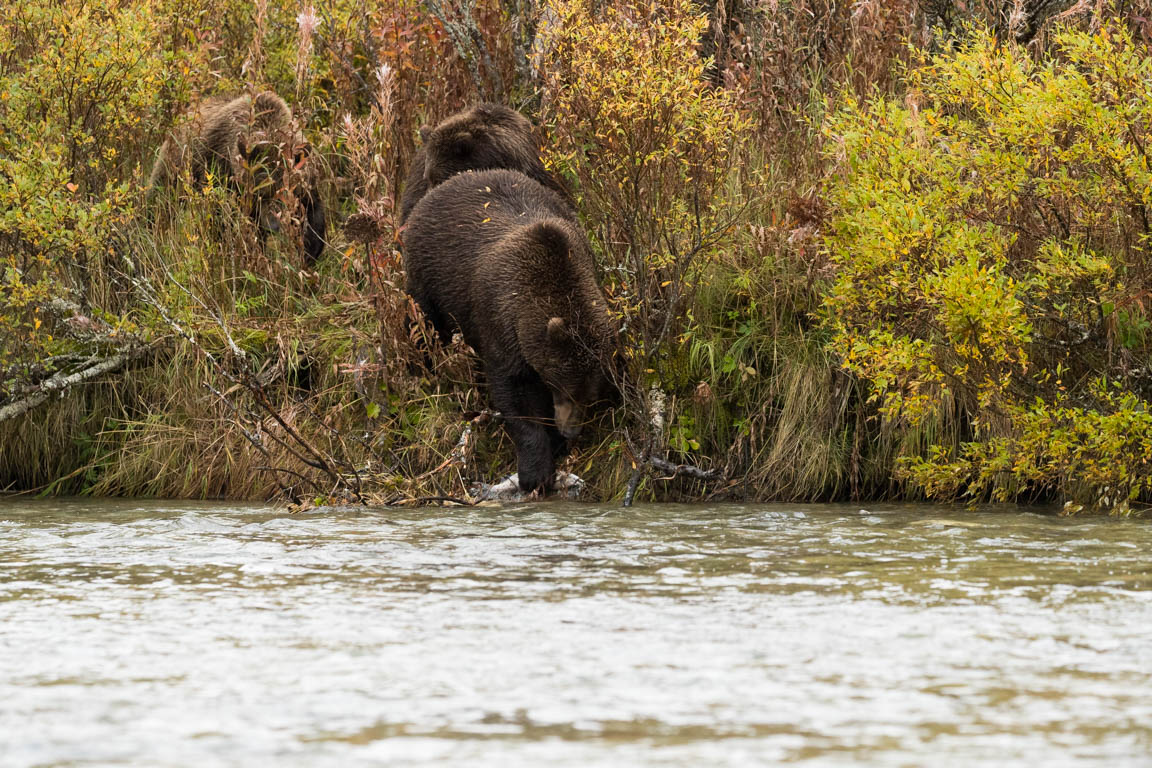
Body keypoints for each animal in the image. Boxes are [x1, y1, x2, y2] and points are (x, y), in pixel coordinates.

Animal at [148, 91, 327, 265]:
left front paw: (308, 256)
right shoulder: (224, 174)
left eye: (288, 192)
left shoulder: (307, 185)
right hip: (177, 165)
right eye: (260, 191)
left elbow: (314, 218)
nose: (273, 226)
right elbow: (227, 223)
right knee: (160, 202)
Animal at [405, 169, 622, 495]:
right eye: (564, 386)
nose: (571, 431)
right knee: (422, 326)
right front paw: (536, 471)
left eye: (589, 394)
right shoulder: (501, 324)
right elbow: (515, 394)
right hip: (427, 277)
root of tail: (454, 179)